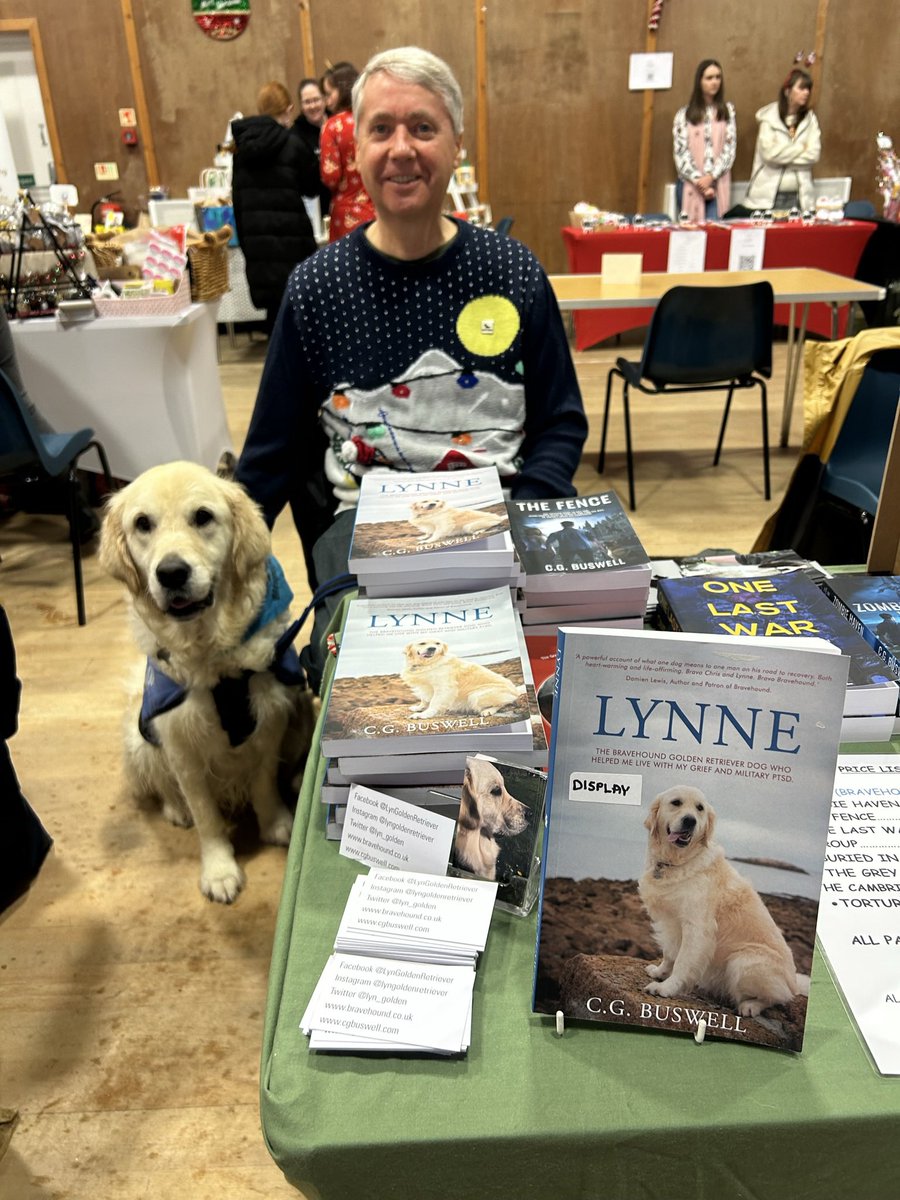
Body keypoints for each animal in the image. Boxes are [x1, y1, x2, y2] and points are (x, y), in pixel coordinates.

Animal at [98, 458, 314, 902]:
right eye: (142, 524)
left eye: (202, 517)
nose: (171, 573)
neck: (212, 656)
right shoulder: (181, 745)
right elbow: (205, 814)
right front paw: (219, 870)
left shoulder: (271, 719)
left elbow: (263, 782)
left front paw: (275, 824)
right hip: (139, 738)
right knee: (163, 785)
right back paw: (176, 810)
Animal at [638, 787, 806, 1012]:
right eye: (676, 802)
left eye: (699, 808)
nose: (690, 820)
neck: (679, 861)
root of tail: (794, 983)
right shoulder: (671, 923)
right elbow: (670, 953)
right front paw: (660, 972)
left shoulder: (697, 927)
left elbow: (682, 961)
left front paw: (666, 988)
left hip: (742, 961)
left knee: (778, 998)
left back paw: (751, 1006)